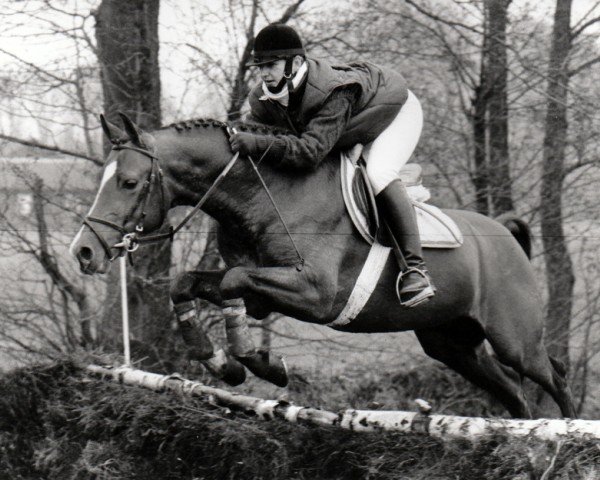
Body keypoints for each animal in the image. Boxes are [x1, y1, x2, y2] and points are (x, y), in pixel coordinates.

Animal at [70, 113, 576, 420]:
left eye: (128, 182)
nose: (84, 252)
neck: (263, 197)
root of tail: (505, 234)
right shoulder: (261, 291)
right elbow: (189, 283)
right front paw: (223, 363)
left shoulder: (316, 294)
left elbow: (232, 281)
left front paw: (263, 364)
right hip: (452, 344)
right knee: (514, 394)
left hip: (513, 338)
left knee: (553, 378)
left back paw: (566, 437)